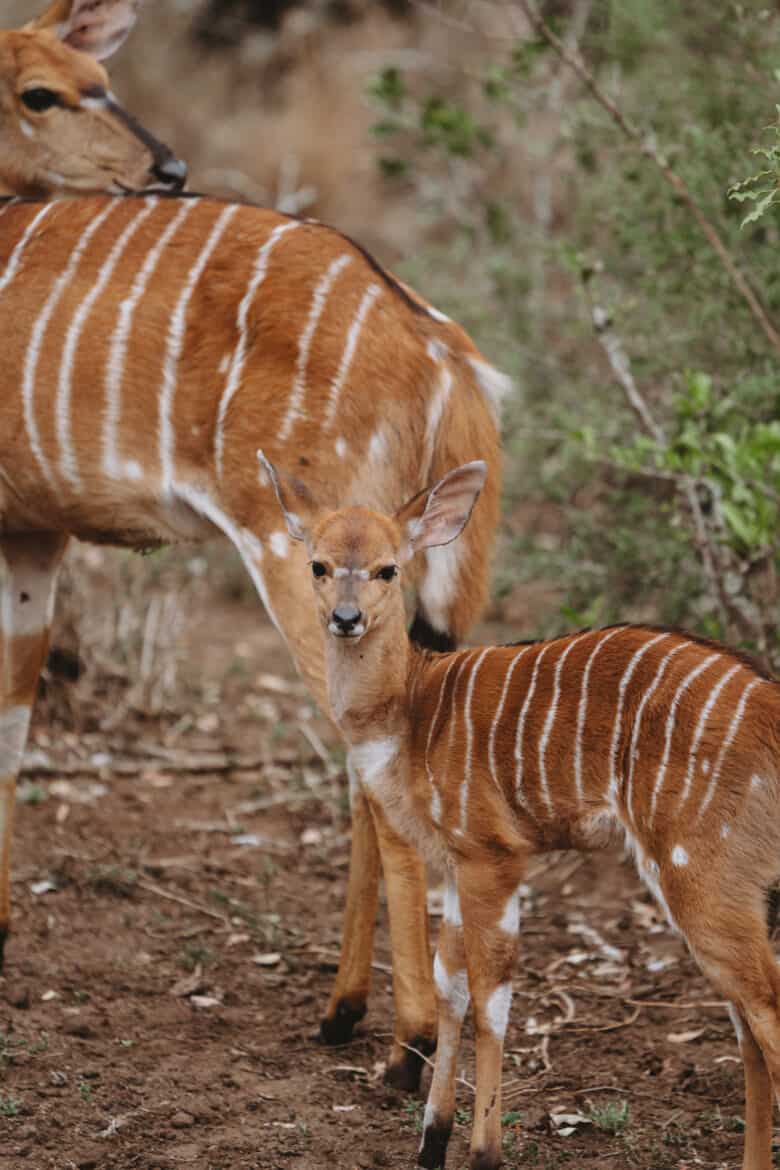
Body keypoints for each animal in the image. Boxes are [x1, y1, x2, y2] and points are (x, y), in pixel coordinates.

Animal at [0, 189, 507, 1085]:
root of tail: (438, 348)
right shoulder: (29, 534)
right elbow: (10, 723)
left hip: (302, 560)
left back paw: (406, 1046)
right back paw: (340, 1012)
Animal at [260, 456, 780, 1170]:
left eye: (389, 569)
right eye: (318, 563)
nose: (345, 617)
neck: (410, 713)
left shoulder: (494, 857)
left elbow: (492, 997)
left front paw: (483, 1152)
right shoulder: (457, 867)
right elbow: (451, 988)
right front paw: (430, 1143)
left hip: (703, 876)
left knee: (765, 1013)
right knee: (748, 1025)